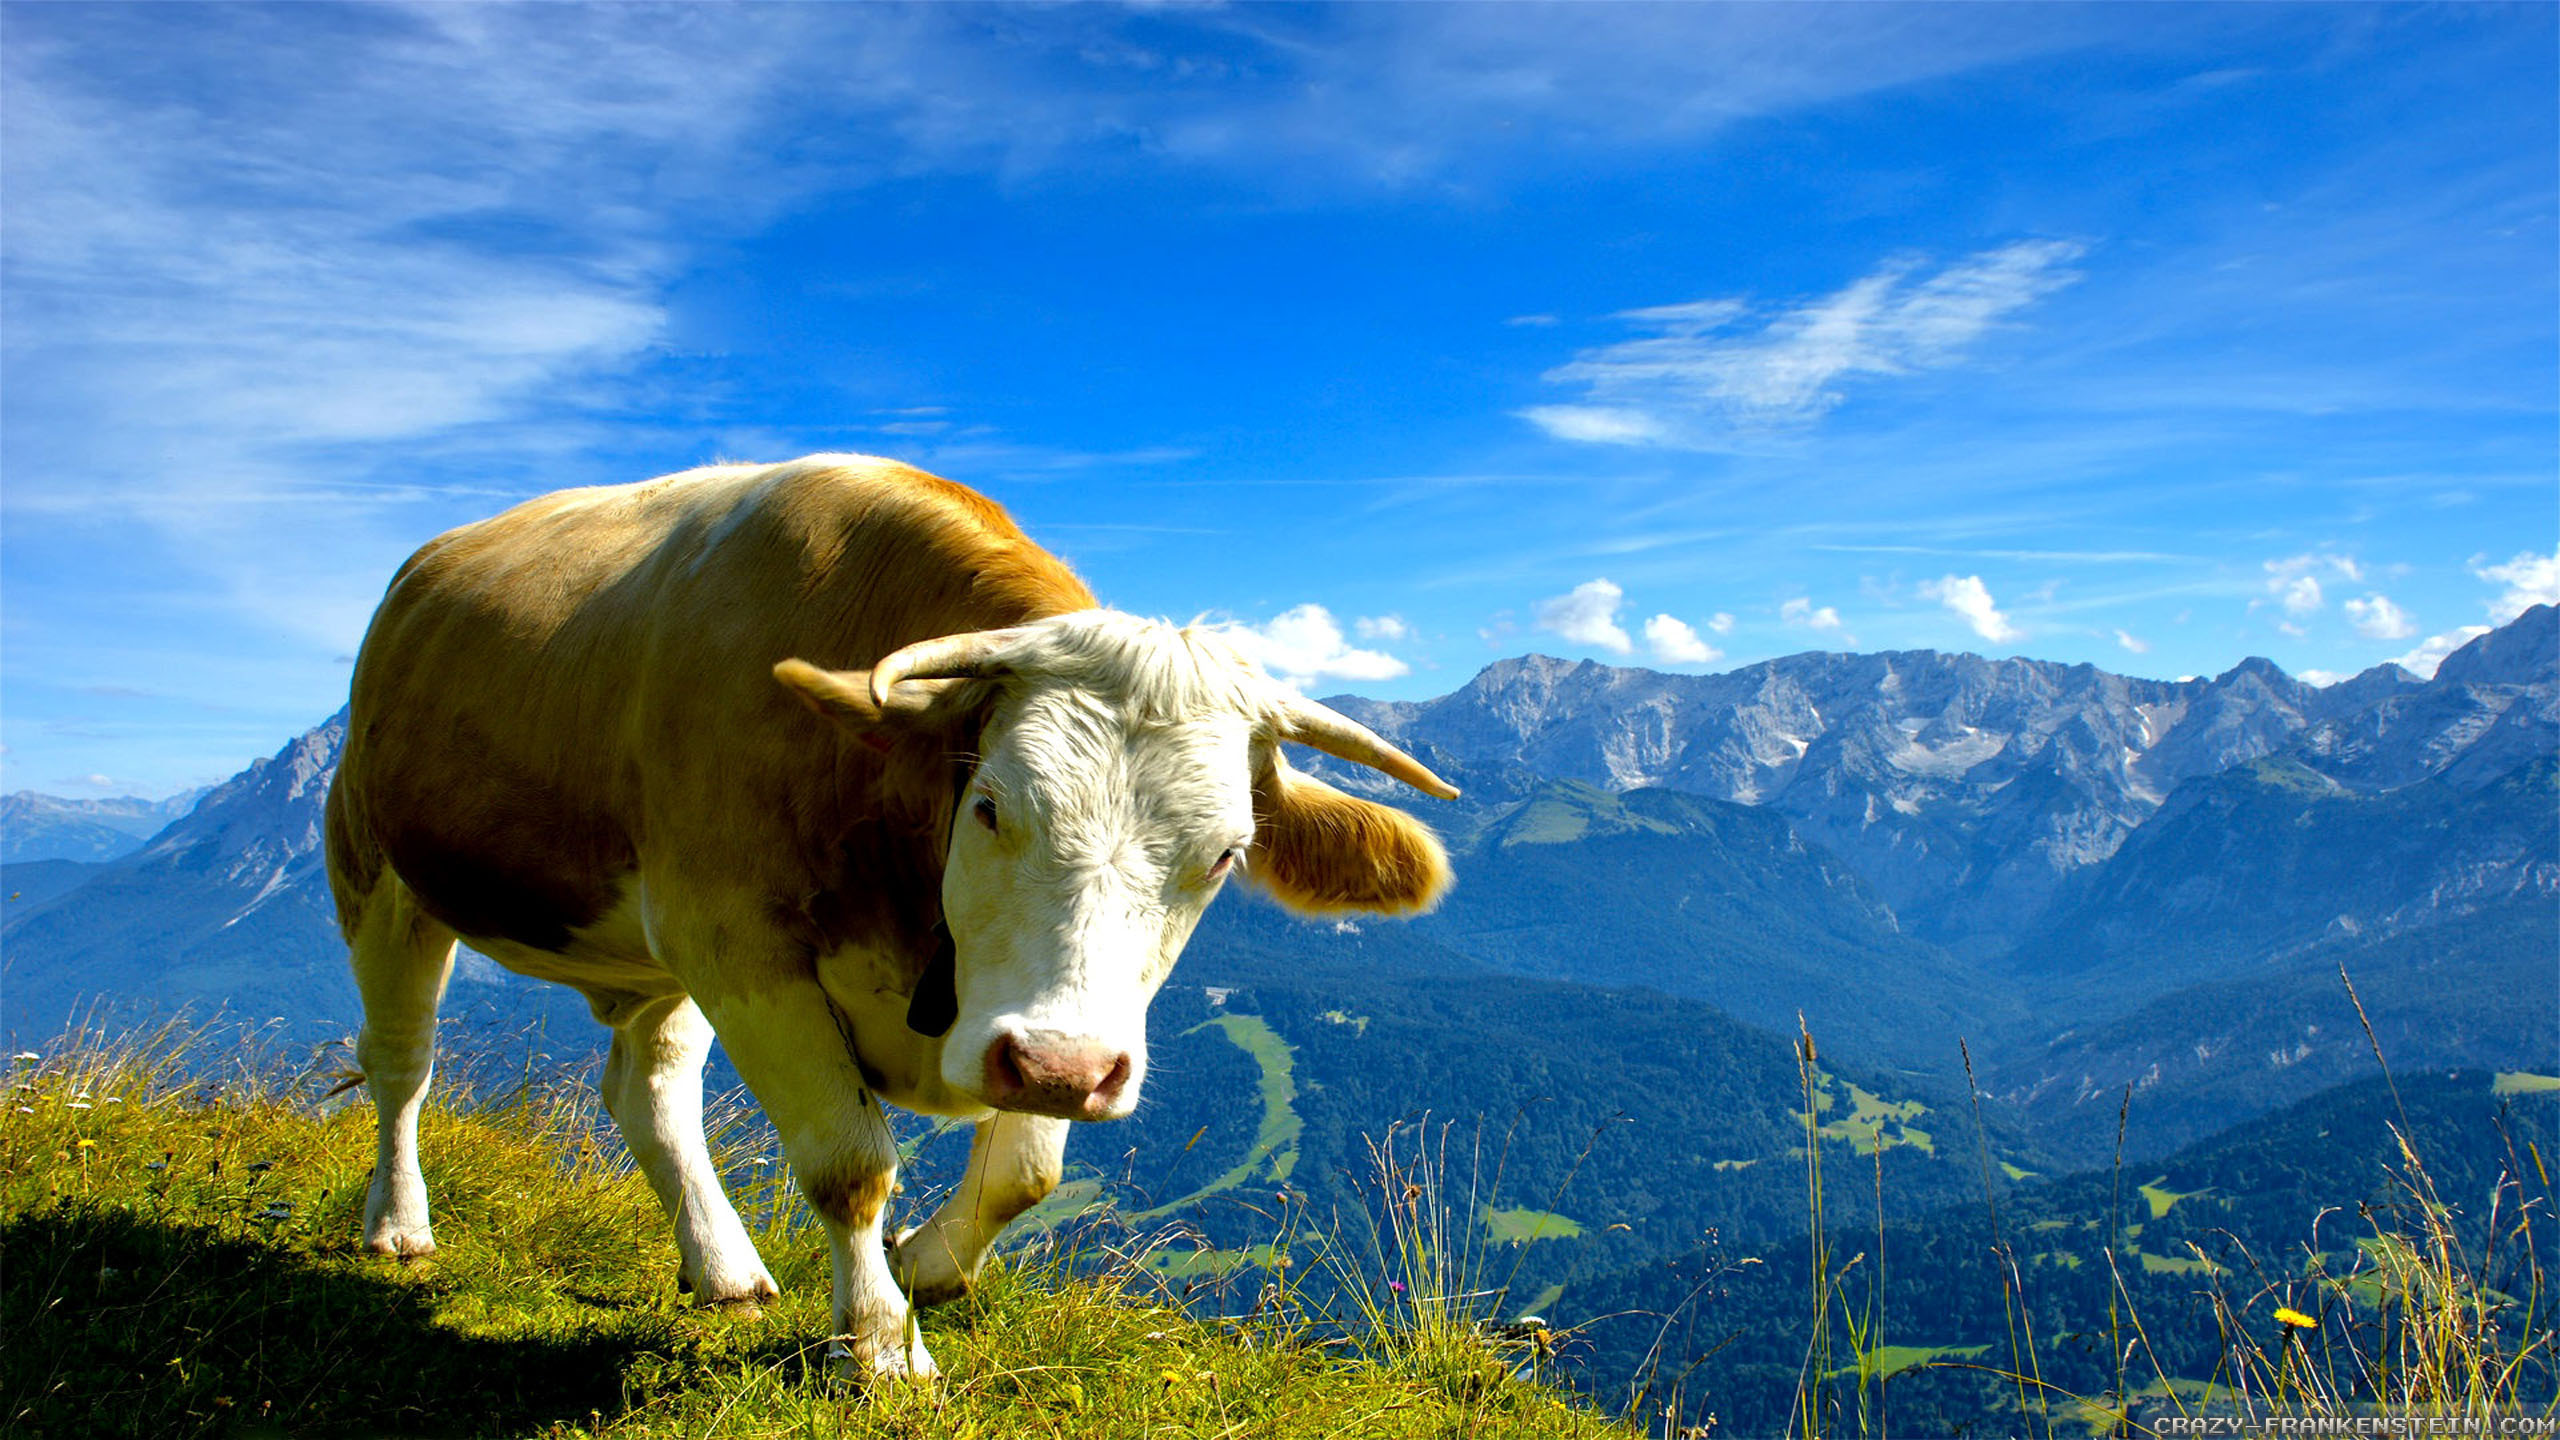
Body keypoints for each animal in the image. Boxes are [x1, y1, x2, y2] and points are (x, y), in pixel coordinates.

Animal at [324, 454, 1456, 1378]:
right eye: (990, 804)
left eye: (1223, 855)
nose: (1066, 1071)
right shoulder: (741, 946)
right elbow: (850, 1167)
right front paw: (881, 1346)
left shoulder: (1028, 1014)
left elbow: (1028, 1172)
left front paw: (923, 1267)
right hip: (377, 871)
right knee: (401, 1063)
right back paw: (398, 1224)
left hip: (655, 961)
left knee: (647, 1090)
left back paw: (722, 1267)